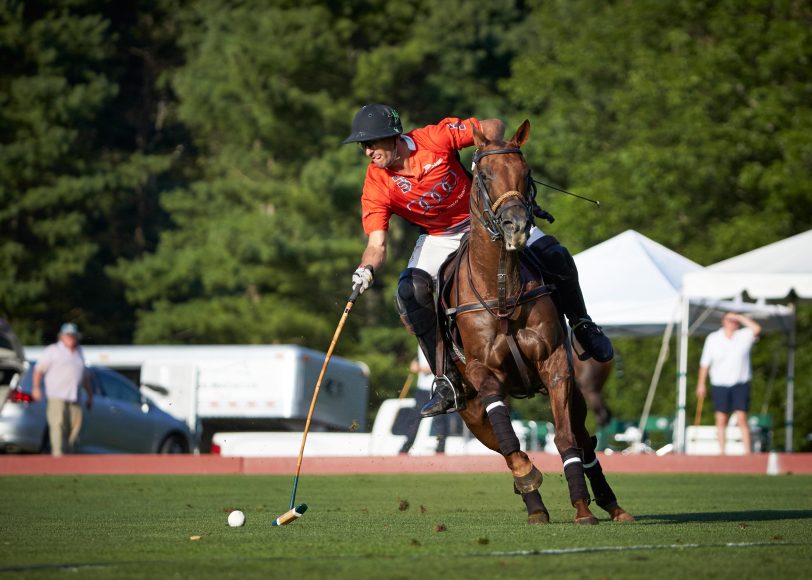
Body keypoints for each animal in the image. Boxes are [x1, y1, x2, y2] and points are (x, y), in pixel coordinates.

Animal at [438, 119, 636, 524]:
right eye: (483, 175)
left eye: (526, 172)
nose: (516, 225)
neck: (501, 290)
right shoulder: (483, 372)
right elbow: (511, 441)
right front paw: (528, 480)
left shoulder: (556, 362)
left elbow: (565, 439)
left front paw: (582, 508)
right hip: (470, 412)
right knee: (504, 447)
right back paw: (535, 506)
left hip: (577, 389)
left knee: (584, 438)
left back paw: (611, 503)